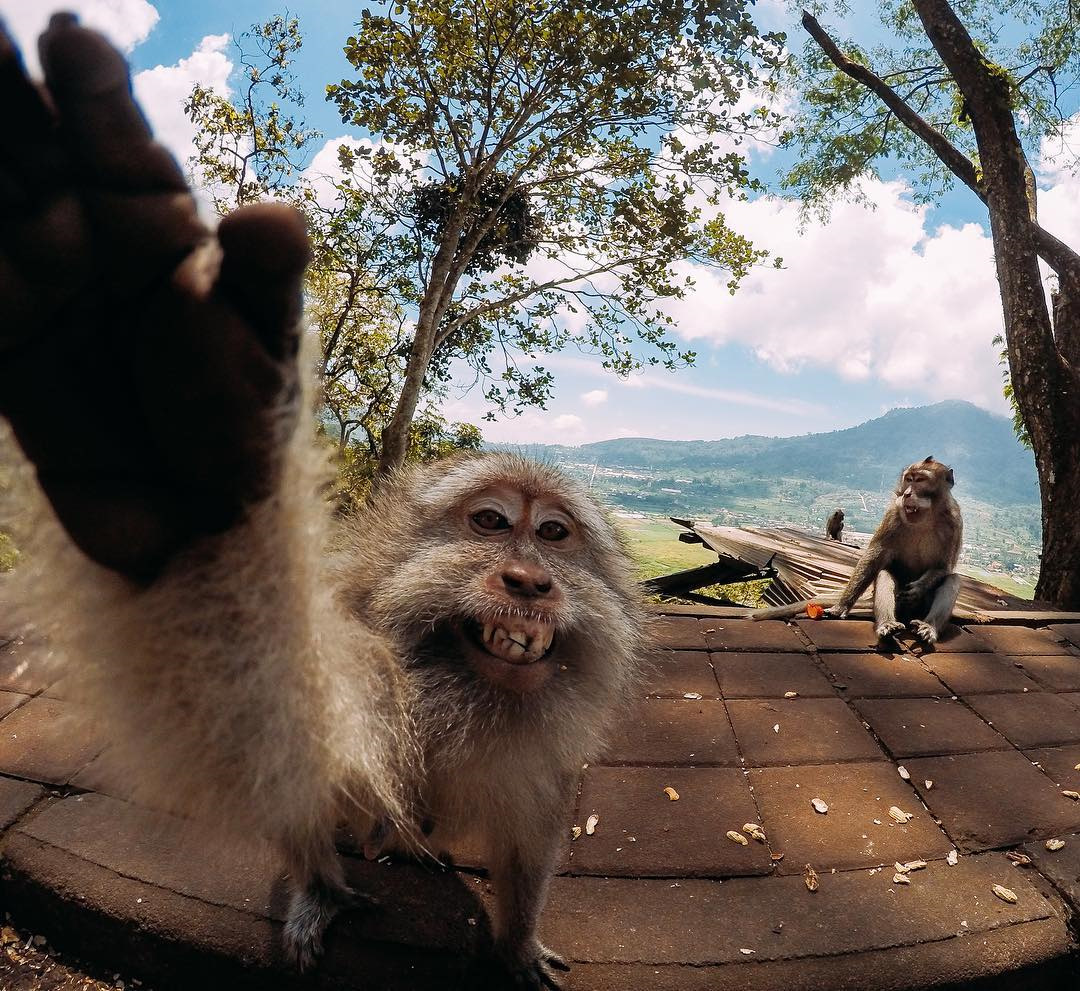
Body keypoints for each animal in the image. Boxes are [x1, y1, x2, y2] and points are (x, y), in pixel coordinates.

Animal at [0, 17, 643, 991]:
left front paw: (516, 938)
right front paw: (181, 476)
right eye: (491, 522)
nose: (530, 581)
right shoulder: (369, 670)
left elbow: (533, 835)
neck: (457, 688)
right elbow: (287, 735)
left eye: (556, 533)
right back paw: (325, 882)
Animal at [825, 455, 963, 647]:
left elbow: (943, 567)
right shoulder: (893, 513)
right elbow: (874, 558)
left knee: (953, 579)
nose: (907, 494)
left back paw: (929, 627)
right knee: (884, 572)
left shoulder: (955, 522)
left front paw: (918, 588)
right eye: (909, 479)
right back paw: (888, 624)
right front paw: (841, 606)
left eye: (920, 480)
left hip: (921, 609)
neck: (926, 517)